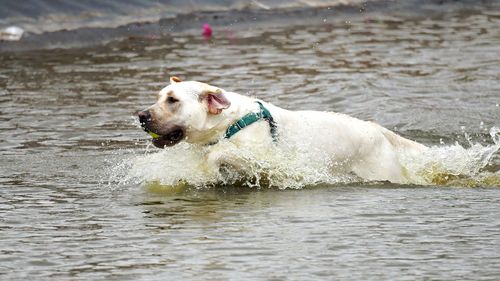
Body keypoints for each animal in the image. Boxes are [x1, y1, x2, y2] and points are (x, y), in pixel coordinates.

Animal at [139, 75, 428, 183]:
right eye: (158, 96)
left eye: (173, 100)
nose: (141, 115)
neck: (229, 124)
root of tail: (377, 130)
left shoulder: (265, 161)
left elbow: (218, 153)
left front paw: (208, 170)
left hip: (384, 171)